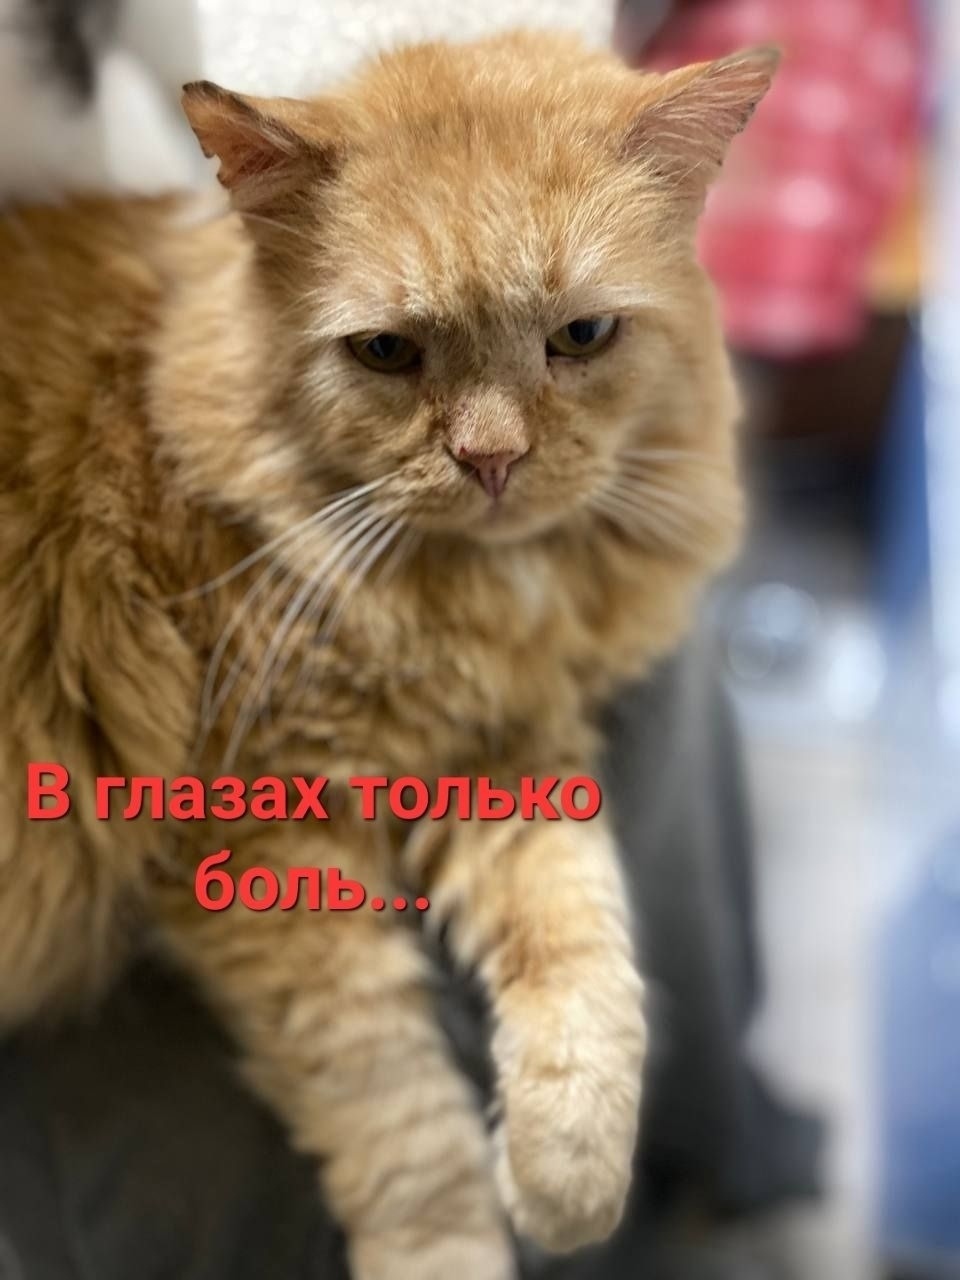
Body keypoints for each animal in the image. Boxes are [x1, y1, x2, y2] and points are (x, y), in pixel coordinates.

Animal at [0, 31, 775, 1280]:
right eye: (387, 353)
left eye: (582, 337)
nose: (492, 460)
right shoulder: (262, 843)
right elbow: (399, 1112)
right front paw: (458, 1245)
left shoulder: (507, 761)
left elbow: (585, 957)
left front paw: (568, 1183)